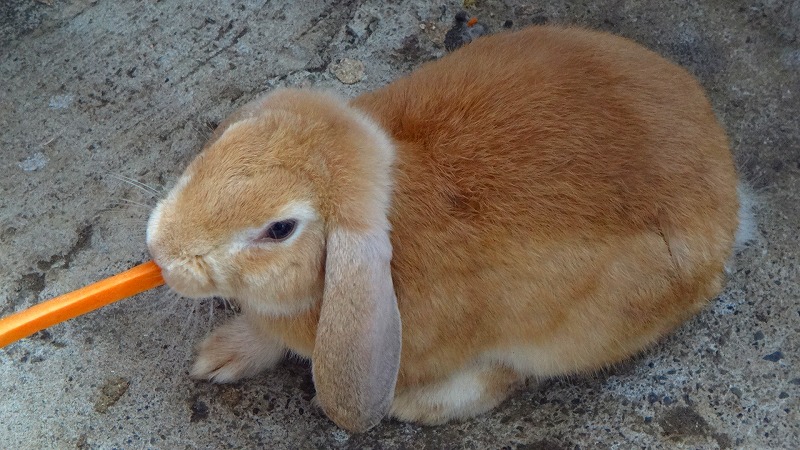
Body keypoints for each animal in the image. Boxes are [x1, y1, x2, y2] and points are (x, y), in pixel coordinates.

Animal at [144, 25, 744, 432]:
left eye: (280, 228)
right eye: (227, 143)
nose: (162, 250)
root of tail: (728, 197)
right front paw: (219, 358)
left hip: (580, 326)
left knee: (509, 376)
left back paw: (410, 404)